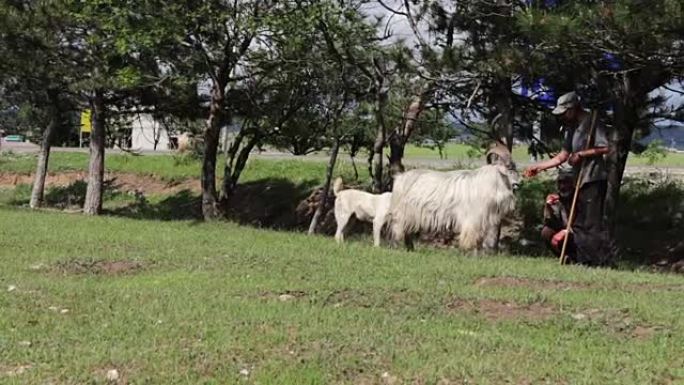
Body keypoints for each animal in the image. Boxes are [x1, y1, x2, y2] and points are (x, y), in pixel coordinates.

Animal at [388, 142, 520, 250]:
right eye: (509, 169)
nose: (518, 184)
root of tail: (400, 178)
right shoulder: (472, 218)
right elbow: (470, 237)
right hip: (403, 213)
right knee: (398, 229)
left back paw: (410, 248)